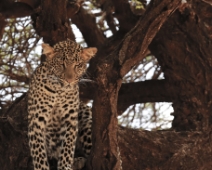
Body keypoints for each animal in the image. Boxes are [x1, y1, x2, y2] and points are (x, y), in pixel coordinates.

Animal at [28, 38, 97, 170]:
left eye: (77, 65)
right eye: (61, 64)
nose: (69, 80)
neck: (59, 90)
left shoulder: (71, 120)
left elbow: (67, 149)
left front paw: (65, 165)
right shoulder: (36, 121)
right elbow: (39, 154)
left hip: (86, 120)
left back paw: (78, 161)